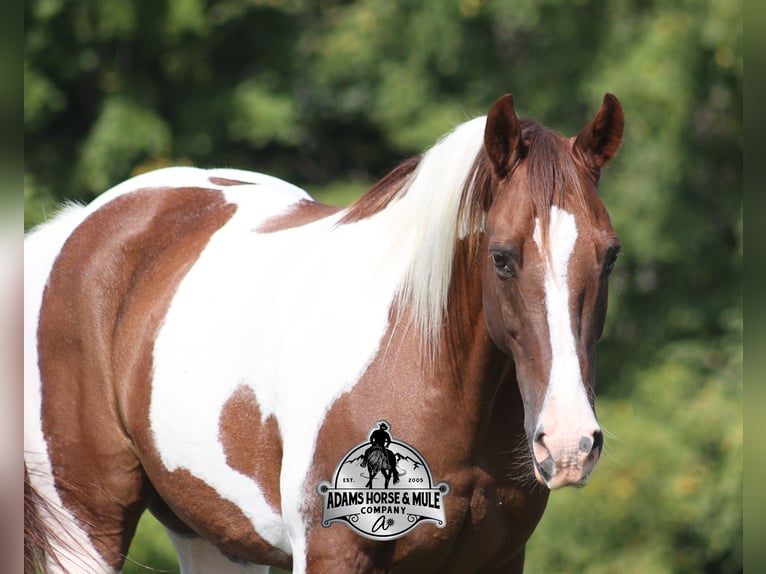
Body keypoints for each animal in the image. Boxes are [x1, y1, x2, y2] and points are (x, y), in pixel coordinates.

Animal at [24, 92, 624, 573]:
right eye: (501, 258)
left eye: (610, 256)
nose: (569, 443)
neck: (421, 368)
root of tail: (77, 227)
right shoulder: (334, 552)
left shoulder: (495, 560)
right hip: (89, 523)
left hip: (212, 536)